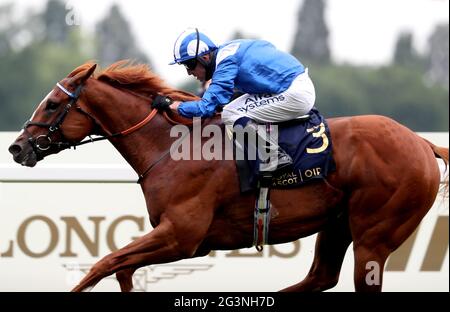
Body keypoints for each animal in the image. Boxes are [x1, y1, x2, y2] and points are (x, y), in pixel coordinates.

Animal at [7, 62, 450, 292]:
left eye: (52, 104)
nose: (16, 148)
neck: (171, 146)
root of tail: (421, 143)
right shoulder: (180, 239)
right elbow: (122, 269)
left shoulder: (181, 236)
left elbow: (104, 264)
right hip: (338, 224)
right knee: (320, 277)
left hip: (375, 232)